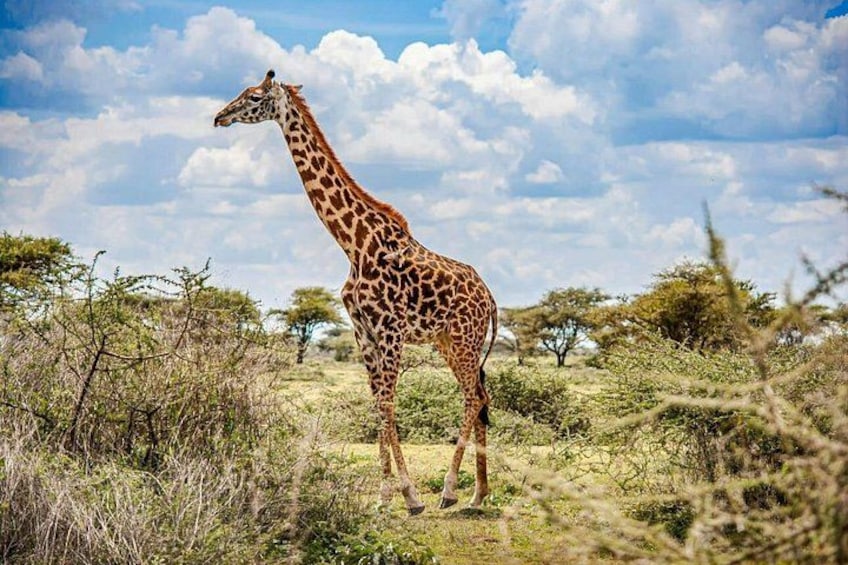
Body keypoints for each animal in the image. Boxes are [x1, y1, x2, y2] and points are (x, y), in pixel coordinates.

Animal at [214, 70, 498, 514]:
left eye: (255, 97)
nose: (219, 117)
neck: (354, 244)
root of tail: (490, 297)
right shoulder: (362, 331)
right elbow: (377, 402)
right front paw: (385, 495)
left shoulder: (390, 330)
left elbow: (388, 403)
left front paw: (410, 495)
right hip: (448, 342)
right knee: (482, 395)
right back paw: (478, 493)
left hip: (465, 338)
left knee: (473, 397)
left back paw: (451, 490)